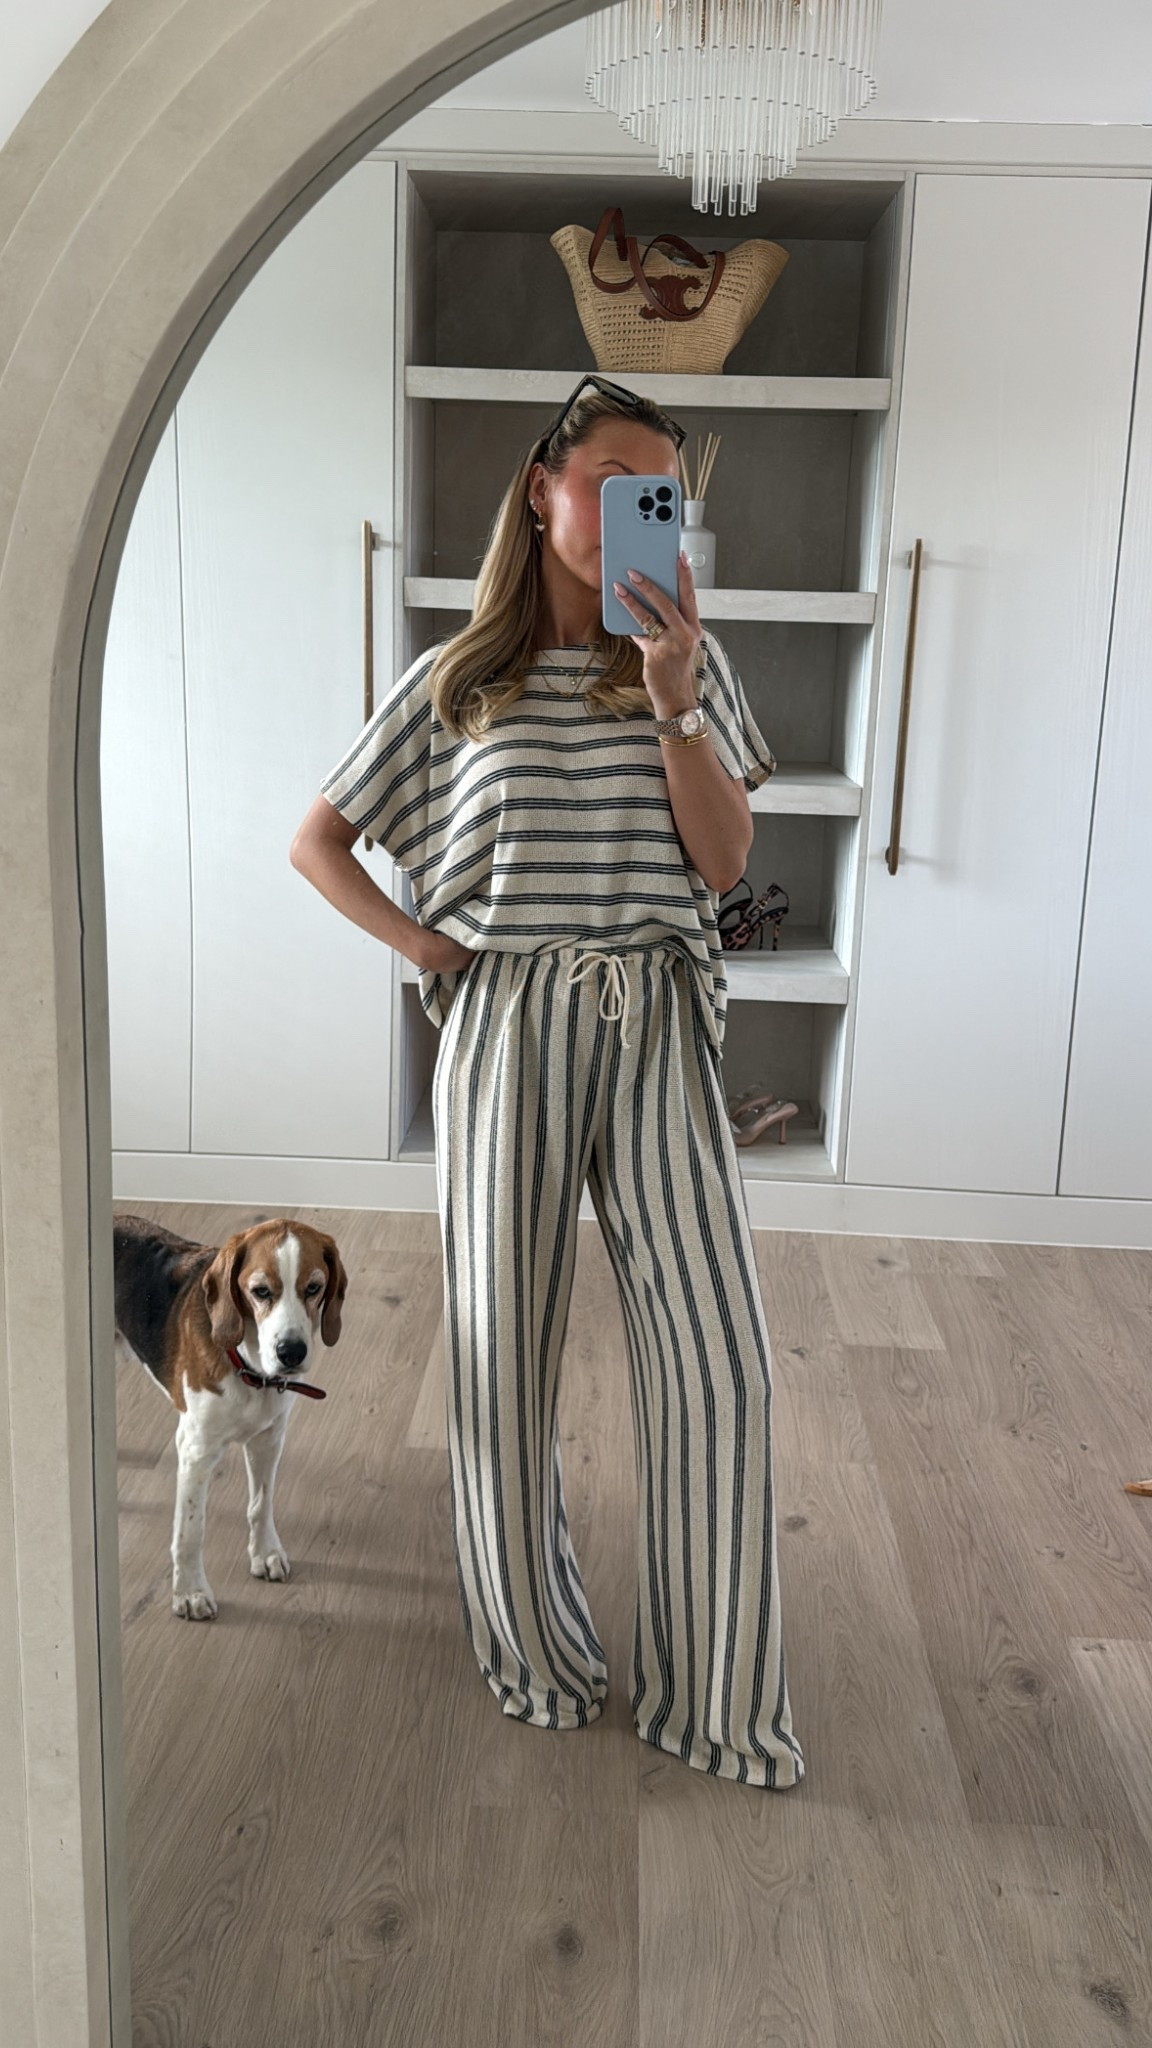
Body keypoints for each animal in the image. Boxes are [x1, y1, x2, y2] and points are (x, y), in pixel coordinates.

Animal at [113, 1214, 349, 1620]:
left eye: (314, 1287)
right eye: (261, 1291)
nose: (291, 1352)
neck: (249, 1369)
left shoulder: (268, 1439)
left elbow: (261, 1504)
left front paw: (265, 1553)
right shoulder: (196, 1451)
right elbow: (191, 1531)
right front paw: (190, 1592)